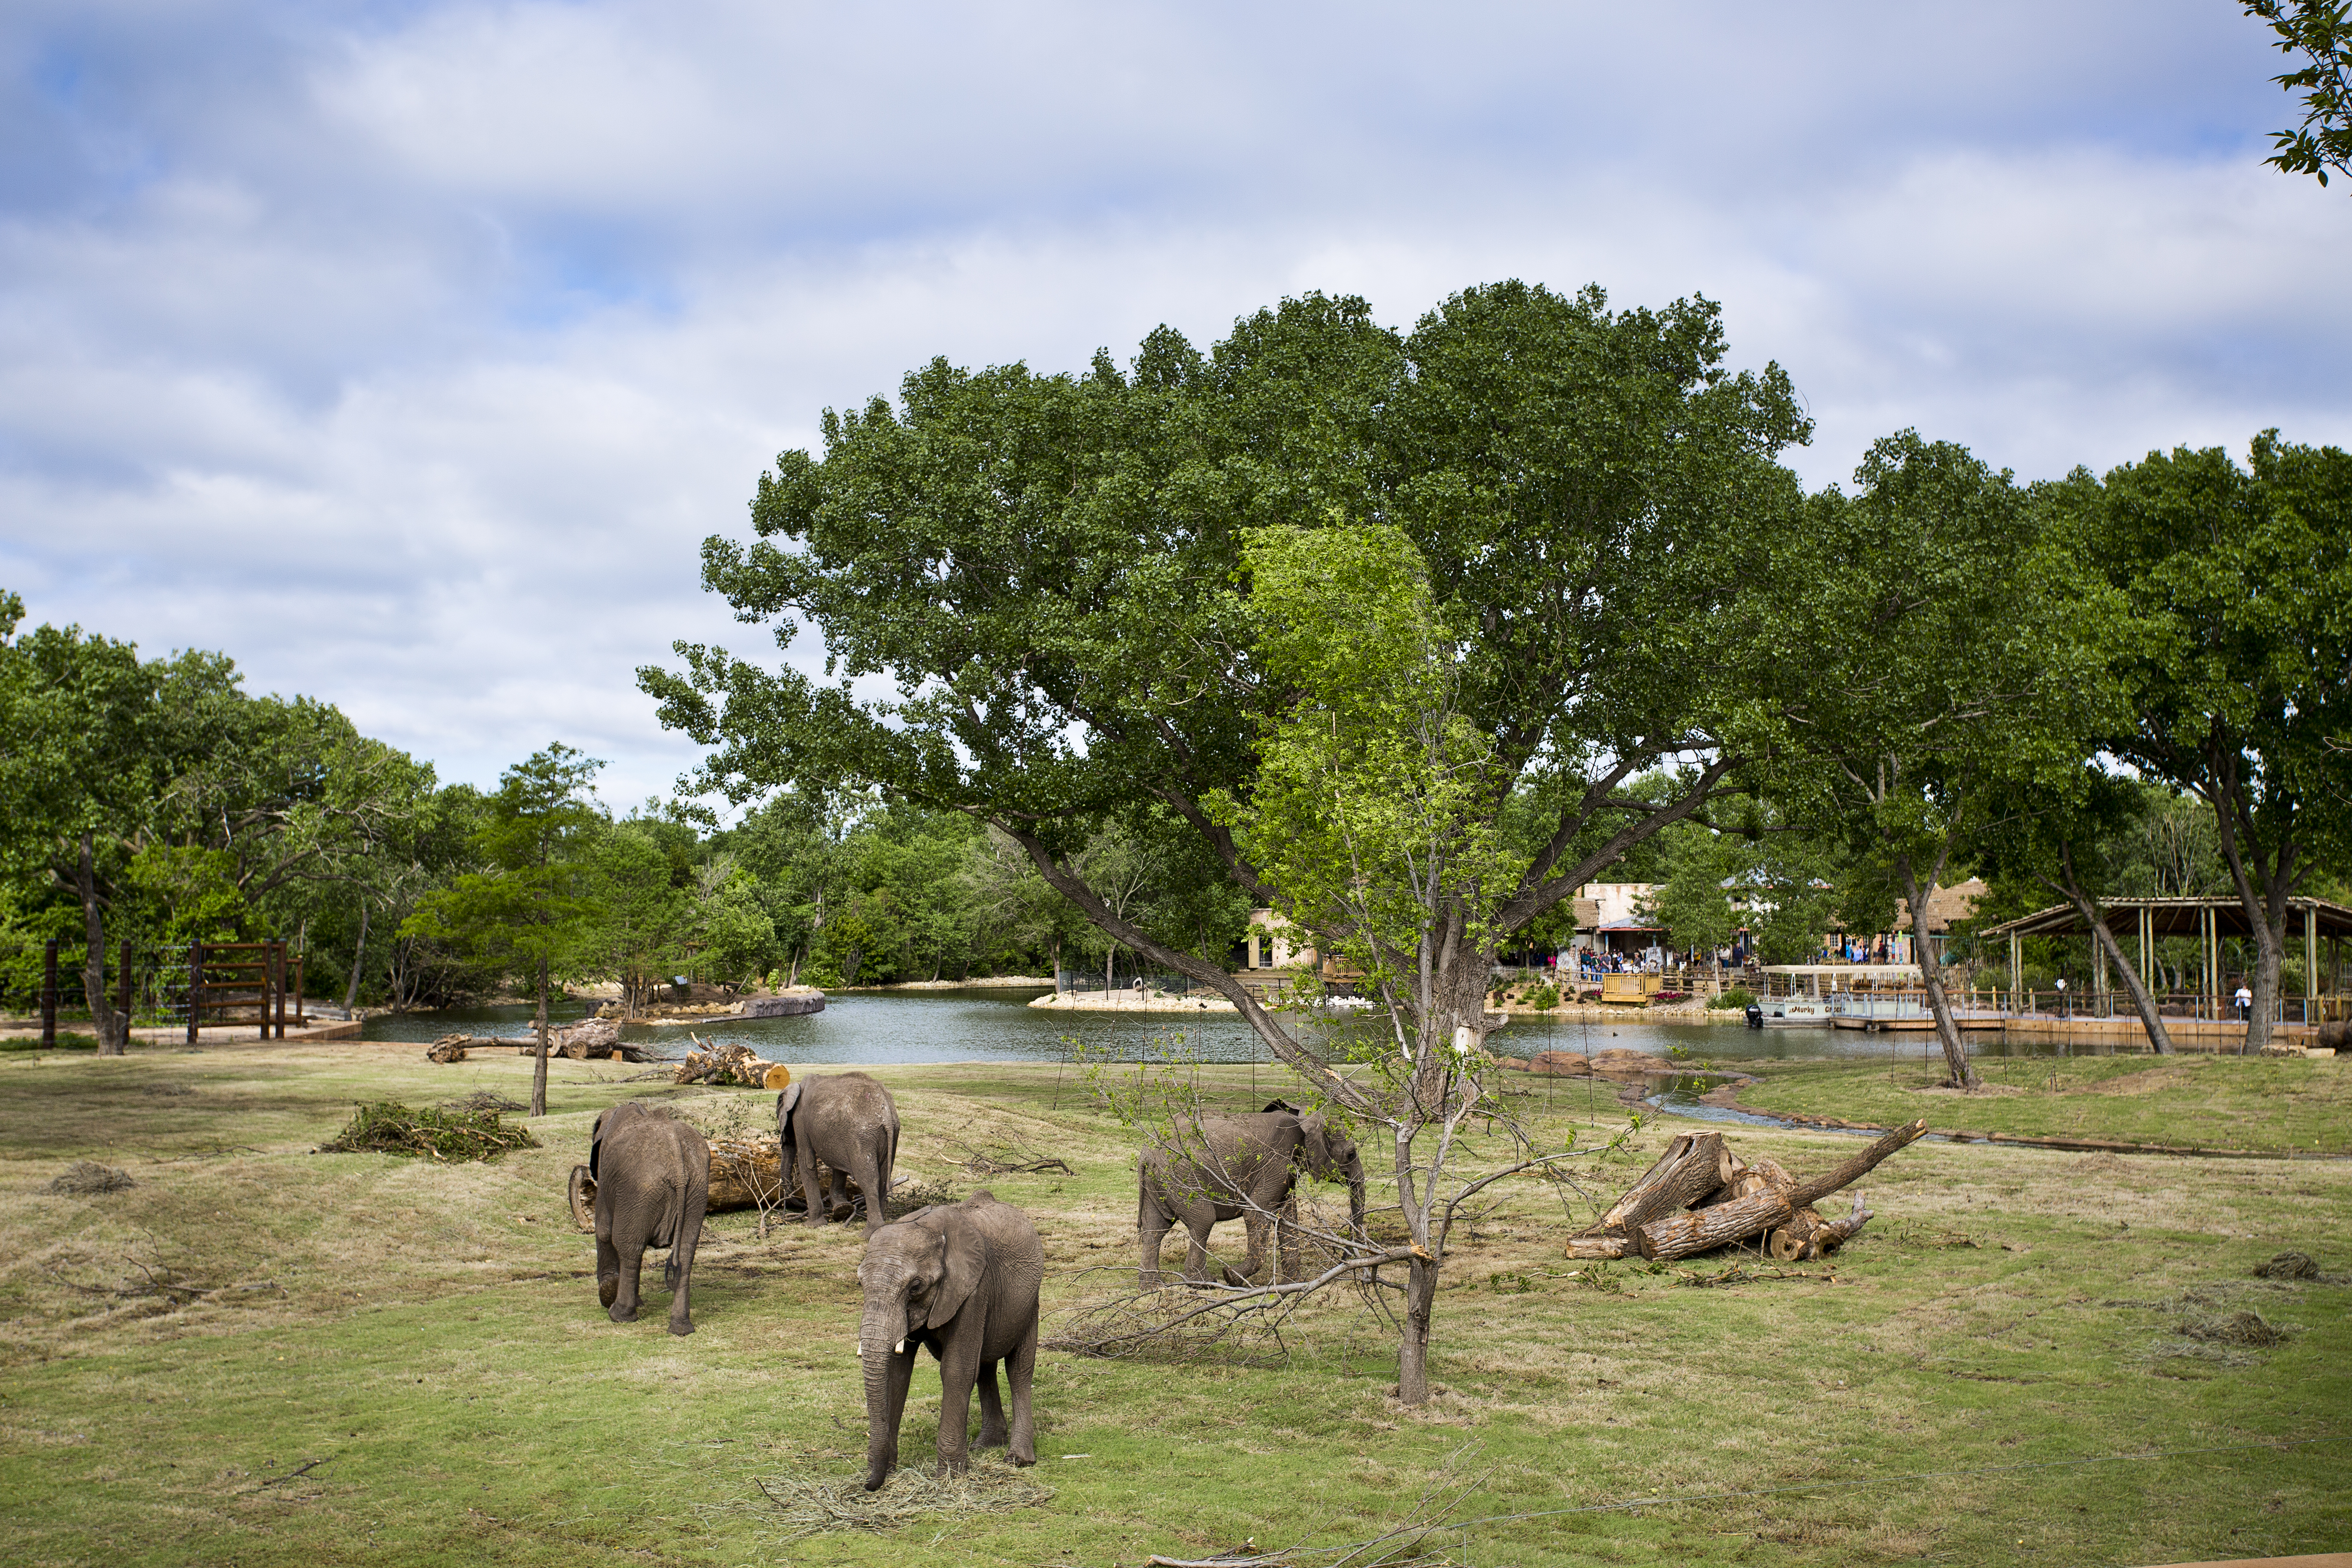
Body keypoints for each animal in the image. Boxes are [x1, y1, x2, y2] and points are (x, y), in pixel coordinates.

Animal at [588, 1105, 706, 1335]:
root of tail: (678, 1169)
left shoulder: (607, 1179)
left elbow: (604, 1231)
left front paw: (607, 1294)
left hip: (638, 1188)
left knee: (628, 1248)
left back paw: (619, 1316)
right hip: (696, 1189)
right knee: (686, 1254)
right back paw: (681, 1329)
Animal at [785, 1067, 903, 1241]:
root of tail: (887, 1115)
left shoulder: (800, 1120)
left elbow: (807, 1162)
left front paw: (812, 1225)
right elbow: (838, 1167)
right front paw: (842, 1210)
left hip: (863, 1137)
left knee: (869, 1179)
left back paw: (868, 1234)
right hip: (892, 1134)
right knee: (883, 1178)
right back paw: (879, 1229)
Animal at [856, 1189, 1039, 1495]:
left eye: (916, 1286)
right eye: (860, 1284)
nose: (869, 1485)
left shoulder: (974, 1288)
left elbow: (956, 1370)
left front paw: (949, 1477)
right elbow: (898, 1372)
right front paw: (888, 1471)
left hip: (1030, 1304)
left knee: (1019, 1370)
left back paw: (1018, 1459)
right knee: (985, 1366)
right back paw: (986, 1444)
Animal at [1134, 1105, 1373, 1288]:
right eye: (1351, 1154)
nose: (1345, 1260)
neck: (1305, 1119)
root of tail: (1146, 1154)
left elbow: (1288, 1219)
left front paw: (1294, 1284)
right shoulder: (1277, 1161)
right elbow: (1257, 1214)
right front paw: (1231, 1277)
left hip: (1160, 1183)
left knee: (1155, 1229)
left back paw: (1152, 1287)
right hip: (1182, 1178)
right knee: (1203, 1222)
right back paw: (1205, 1283)